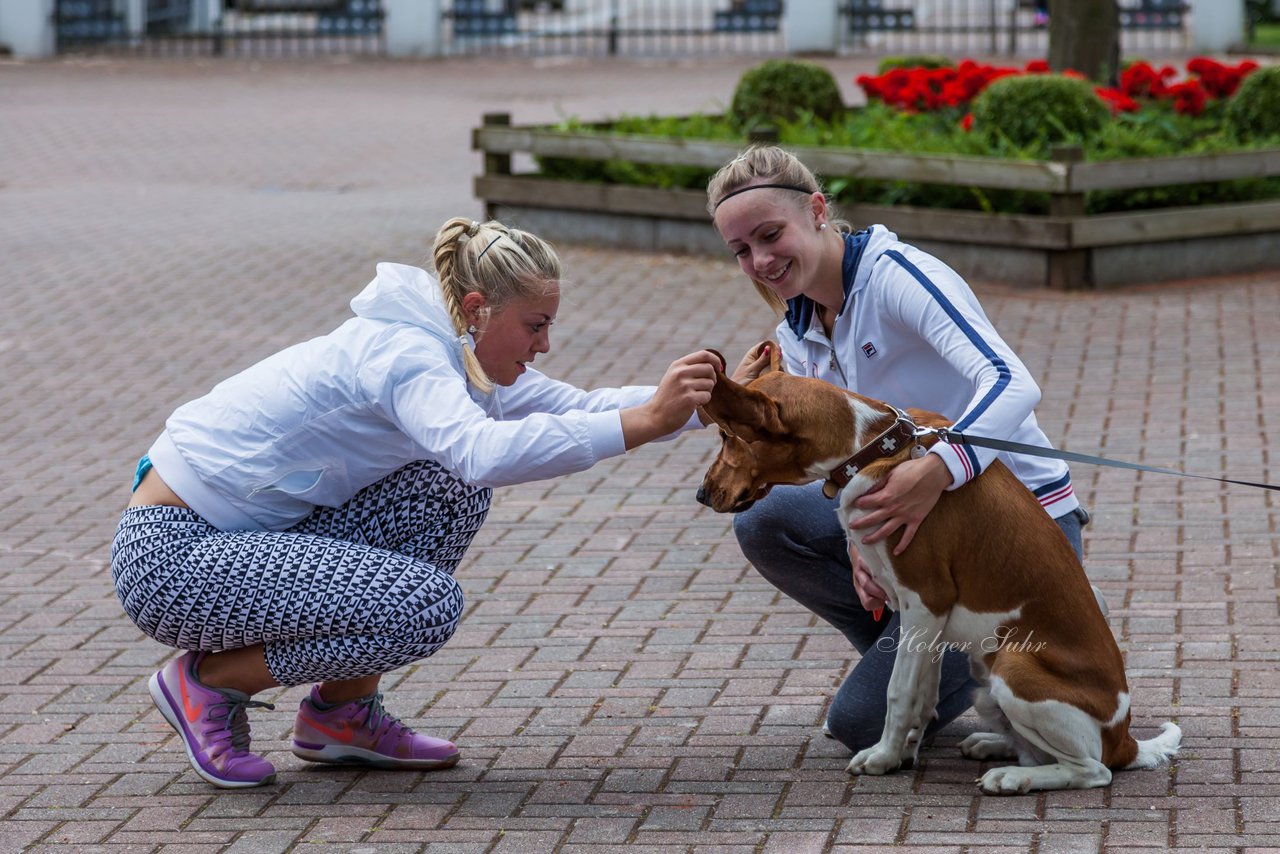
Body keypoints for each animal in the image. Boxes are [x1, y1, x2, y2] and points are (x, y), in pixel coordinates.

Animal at [701, 345, 1177, 793]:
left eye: (726, 435)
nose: (701, 495)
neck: (870, 448)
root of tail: (1126, 740)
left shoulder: (924, 601)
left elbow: (898, 691)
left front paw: (882, 757)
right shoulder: (923, 618)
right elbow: (922, 693)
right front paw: (903, 753)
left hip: (1014, 667)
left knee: (1092, 769)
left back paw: (1012, 777)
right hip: (984, 680)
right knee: (1040, 750)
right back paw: (995, 745)